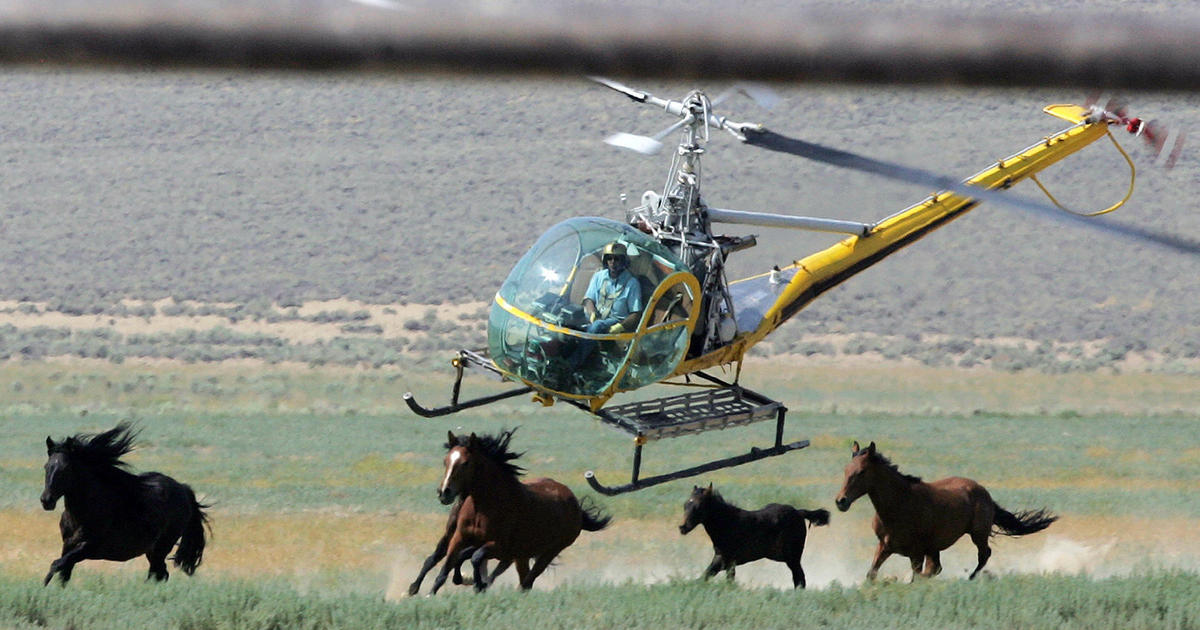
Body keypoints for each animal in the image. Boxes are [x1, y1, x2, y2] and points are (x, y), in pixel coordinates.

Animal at [41, 422, 211, 585]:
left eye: (66, 468)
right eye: (46, 466)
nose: (46, 501)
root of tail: (183, 489)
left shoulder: (87, 548)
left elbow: (55, 565)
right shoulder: (68, 546)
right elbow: (63, 575)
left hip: (161, 547)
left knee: (158, 574)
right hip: (152, 551)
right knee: (160, 574)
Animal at [422, 424, 609, 592]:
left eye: (466, 463)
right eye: (445, 461)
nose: (444, 492)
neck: (482, 508)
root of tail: (574, 503)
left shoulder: (498, 546)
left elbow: (475, 558)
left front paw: (476, 583)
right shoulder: (459, 538)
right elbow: (445, 568)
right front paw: (432, 592)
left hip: (549, 552)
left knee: (527, 582)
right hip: (522, 555)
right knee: (523, 580)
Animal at [681, 484, 830, 588]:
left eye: (699, 506)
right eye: (686, 504)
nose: (682, 527)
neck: (728, 523)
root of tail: (799, 512)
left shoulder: (727, 560)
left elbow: (718, 578)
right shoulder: (723, 560)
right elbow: (707, 576)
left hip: (792, 557)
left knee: (799, 579)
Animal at [835, 436, 1060, 580]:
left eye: (861, 472)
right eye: (846, 470)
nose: (841, 501)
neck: (899, 505)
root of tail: (983, 492)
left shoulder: (916, 552)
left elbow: (917, 577)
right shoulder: (885, 546)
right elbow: (871, 574)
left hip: (977, 534)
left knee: (983, 555)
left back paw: (970, 578)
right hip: (935, 547)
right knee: (938, 567)